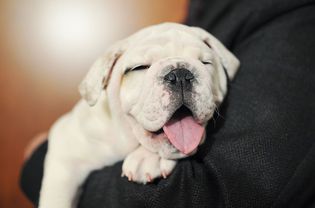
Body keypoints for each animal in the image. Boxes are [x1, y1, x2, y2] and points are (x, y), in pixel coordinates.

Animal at [39, 22, 239, 208]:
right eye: (138, 68)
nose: (180, 74)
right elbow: (56, 196)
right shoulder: (66, 151)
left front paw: (148, 158)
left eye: (206, 63)